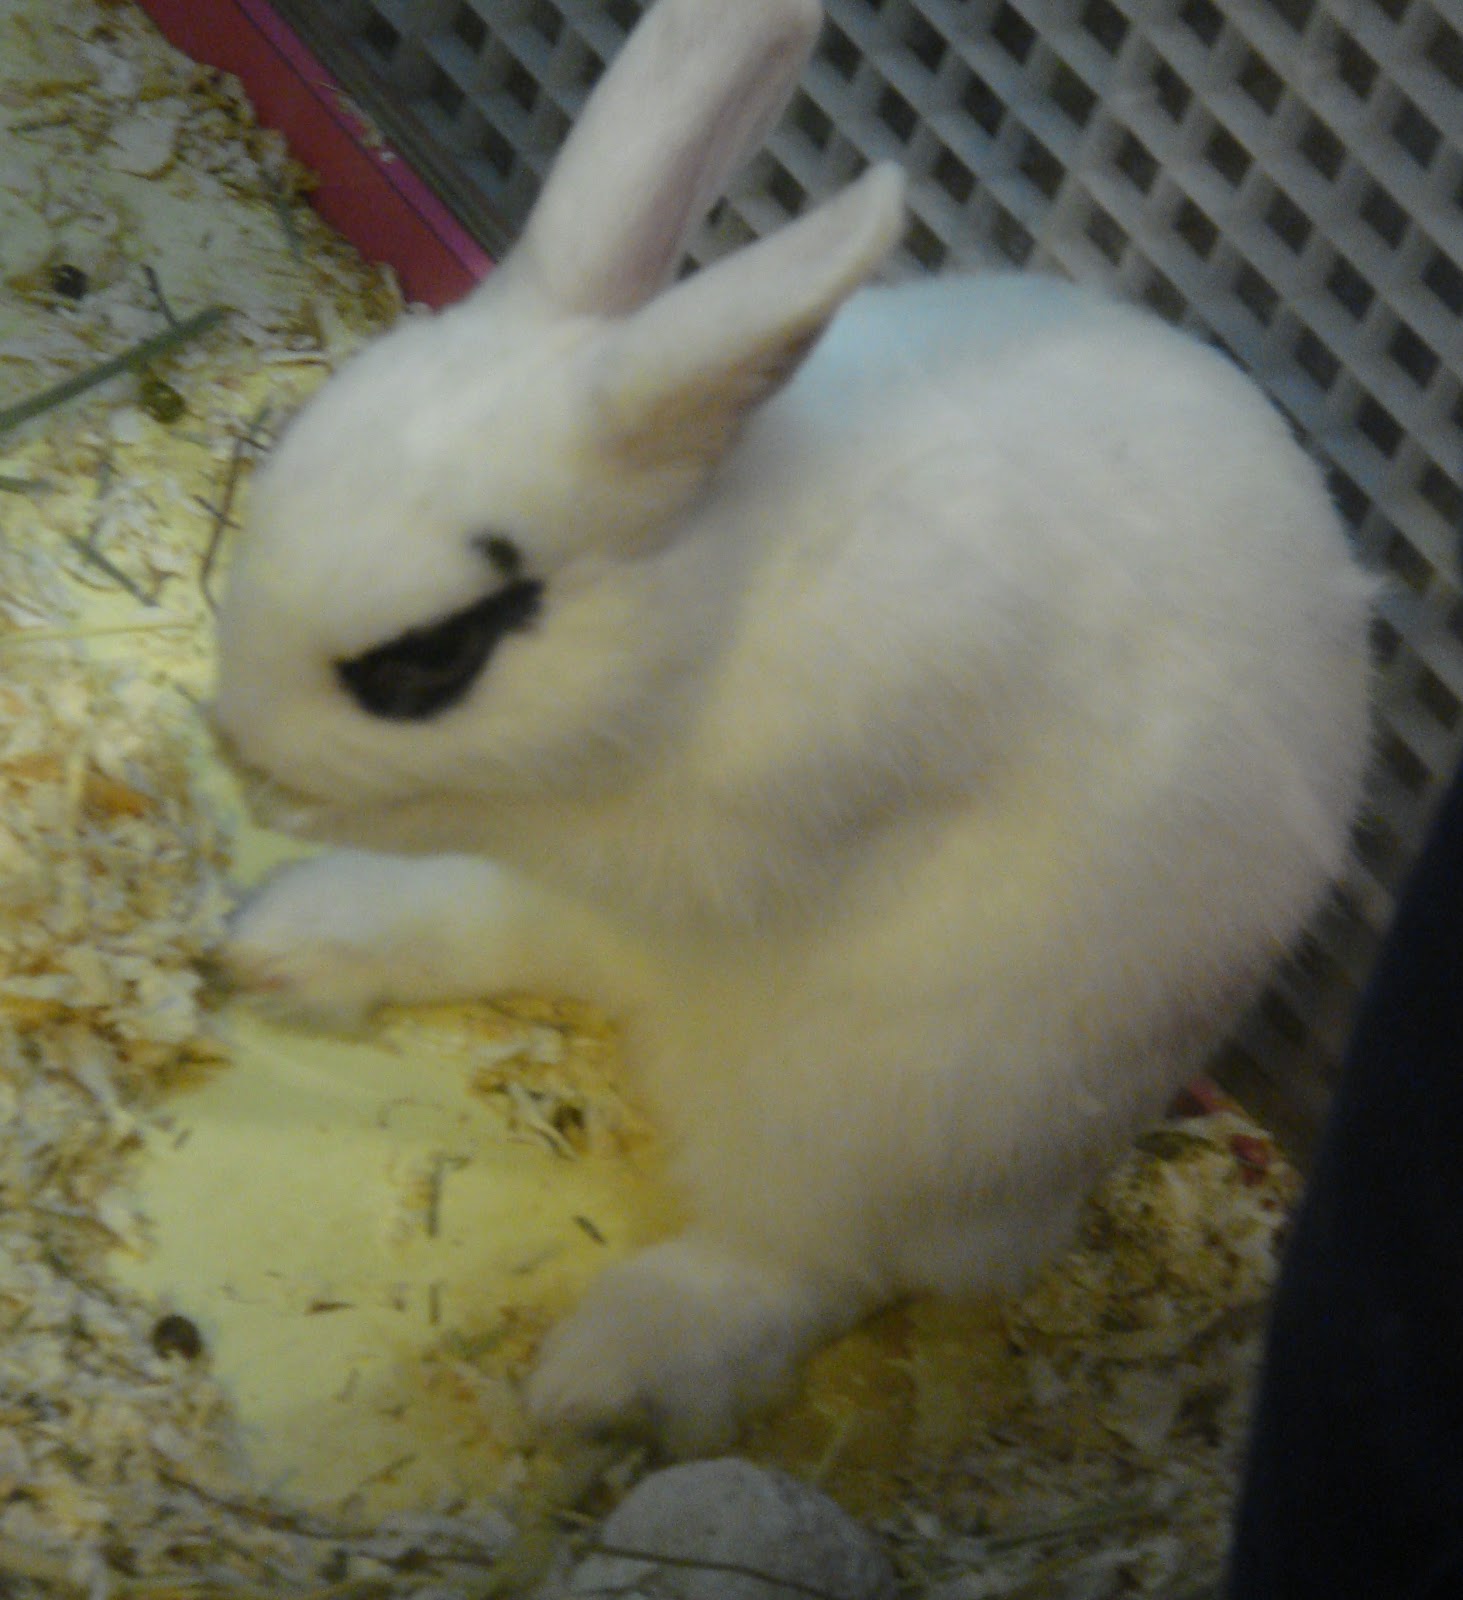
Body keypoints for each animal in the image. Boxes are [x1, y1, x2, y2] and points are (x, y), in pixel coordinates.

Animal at [211, 0, 1375, 1455]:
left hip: (883, 1117)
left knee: (814, 1259)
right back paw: (286, 943)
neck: (718, 598)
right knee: (517, 935)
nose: (235, 753)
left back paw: (606, 1374)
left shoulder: (740, 828)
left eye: (431, 655)